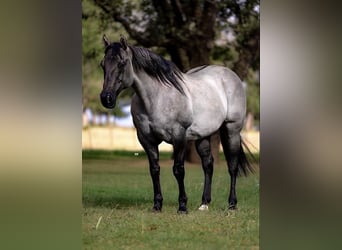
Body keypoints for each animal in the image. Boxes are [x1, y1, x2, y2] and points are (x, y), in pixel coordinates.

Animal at [99, 34, 254, 213]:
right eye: (102, 64)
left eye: (122, 63)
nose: (106, 98)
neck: (157, 98)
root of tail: (229, 75)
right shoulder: (146, 139)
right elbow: (154, 170)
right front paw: (157, 205)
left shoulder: (179, 136)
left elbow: (178, 170)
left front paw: (182, 206)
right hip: (203, 135)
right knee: (208, 165)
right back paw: (204, 203)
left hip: (232, 129)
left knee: (232, 166)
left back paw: (232, 204)